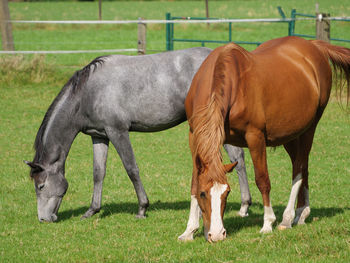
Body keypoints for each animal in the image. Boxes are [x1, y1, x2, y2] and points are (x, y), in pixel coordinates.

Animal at [24, 48, 250, 225]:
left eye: (40, 186)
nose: (44, 219)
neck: (88, 92)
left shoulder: (118, 132)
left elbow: (131, 169)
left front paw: (142, 208)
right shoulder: (99, 136)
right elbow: (98, 173)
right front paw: (92, 210)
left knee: (236, 157)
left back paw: (243, 206)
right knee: (236, 158)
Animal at [180, 36, 350, 243]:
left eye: (227, 192)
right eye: (203, 193)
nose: (217, 235)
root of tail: (313, 45)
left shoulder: (255, 137)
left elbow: (262, 180)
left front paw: (268, 223)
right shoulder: (194, 135)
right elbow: (194, 181)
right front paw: (189, 230)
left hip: (309, 129)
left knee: (298, 169)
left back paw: (288, 218)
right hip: (290, 135)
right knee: (303, 167)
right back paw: (302, 213)